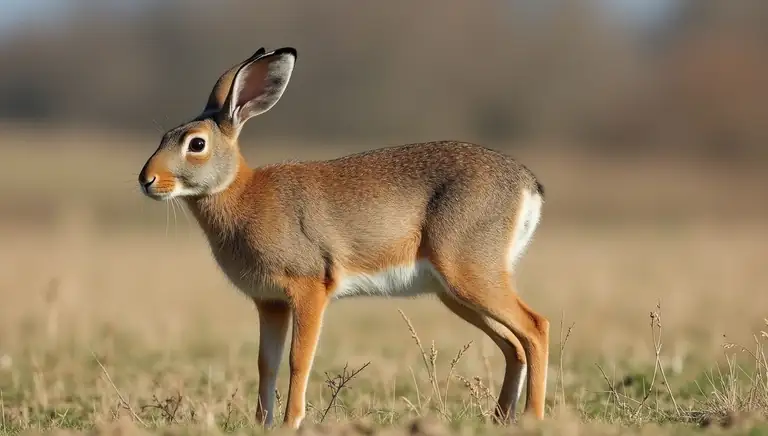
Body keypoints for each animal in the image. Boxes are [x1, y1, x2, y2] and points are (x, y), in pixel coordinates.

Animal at [138, 46, 548, 429]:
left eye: (196, 144)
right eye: (164, 136)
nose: (147, 180)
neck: (241, 194)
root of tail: (528, 184)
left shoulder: (308, 291)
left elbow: (299, 359)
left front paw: (291, 423)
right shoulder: (270, 303)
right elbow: (266, 364)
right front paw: (263, 424)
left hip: (470, 278)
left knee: (535, 328)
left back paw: (533, 417)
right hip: (455, 294)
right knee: (514, 345)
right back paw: (501, 418)